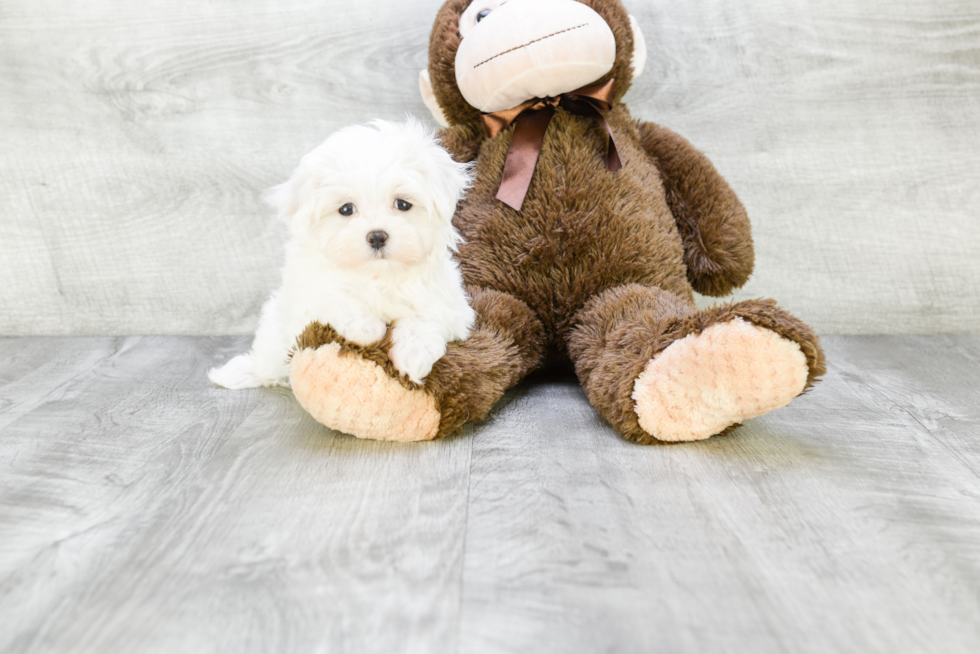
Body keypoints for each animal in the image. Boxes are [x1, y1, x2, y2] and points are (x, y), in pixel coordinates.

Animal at [209, 119, 476, 390]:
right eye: (346, 209)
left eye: (403, 204)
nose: (377, 236)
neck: (379, 276)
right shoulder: (308, 294)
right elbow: (336, 299)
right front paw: (368, 329)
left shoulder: (451, 304)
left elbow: (427, 317)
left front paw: (413, 356)